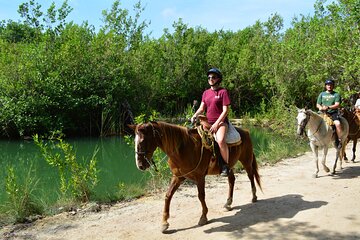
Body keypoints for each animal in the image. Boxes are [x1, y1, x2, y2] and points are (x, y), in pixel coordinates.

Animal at [128, 122, 260, 232]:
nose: (140, 165)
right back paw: (228, 203)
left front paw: (203, 217)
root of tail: (245, 131)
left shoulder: (199, 177)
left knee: (251, 176)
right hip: (229, 167)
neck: (184, 148)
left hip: (246, 160)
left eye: (143, 141)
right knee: (232, 180)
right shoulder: (178, 177)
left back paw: (254, 197)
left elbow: (201, 196)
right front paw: (164, 223)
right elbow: (168, 196)